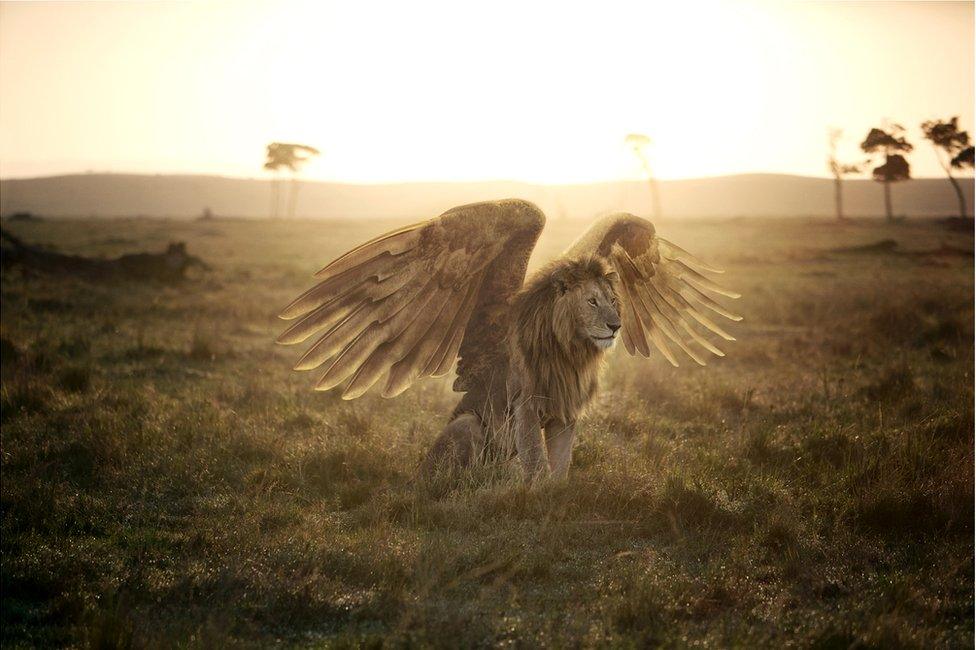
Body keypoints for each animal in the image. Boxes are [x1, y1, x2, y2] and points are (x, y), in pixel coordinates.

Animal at [274, 200, 740, 478]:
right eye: (591, 302)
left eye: (614, 300)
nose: (615, 327)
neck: (568, 350)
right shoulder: (527, 403)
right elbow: (537, 465)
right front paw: (536, 502)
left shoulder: (567, 410)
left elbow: (560, 465)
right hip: (466, 426)